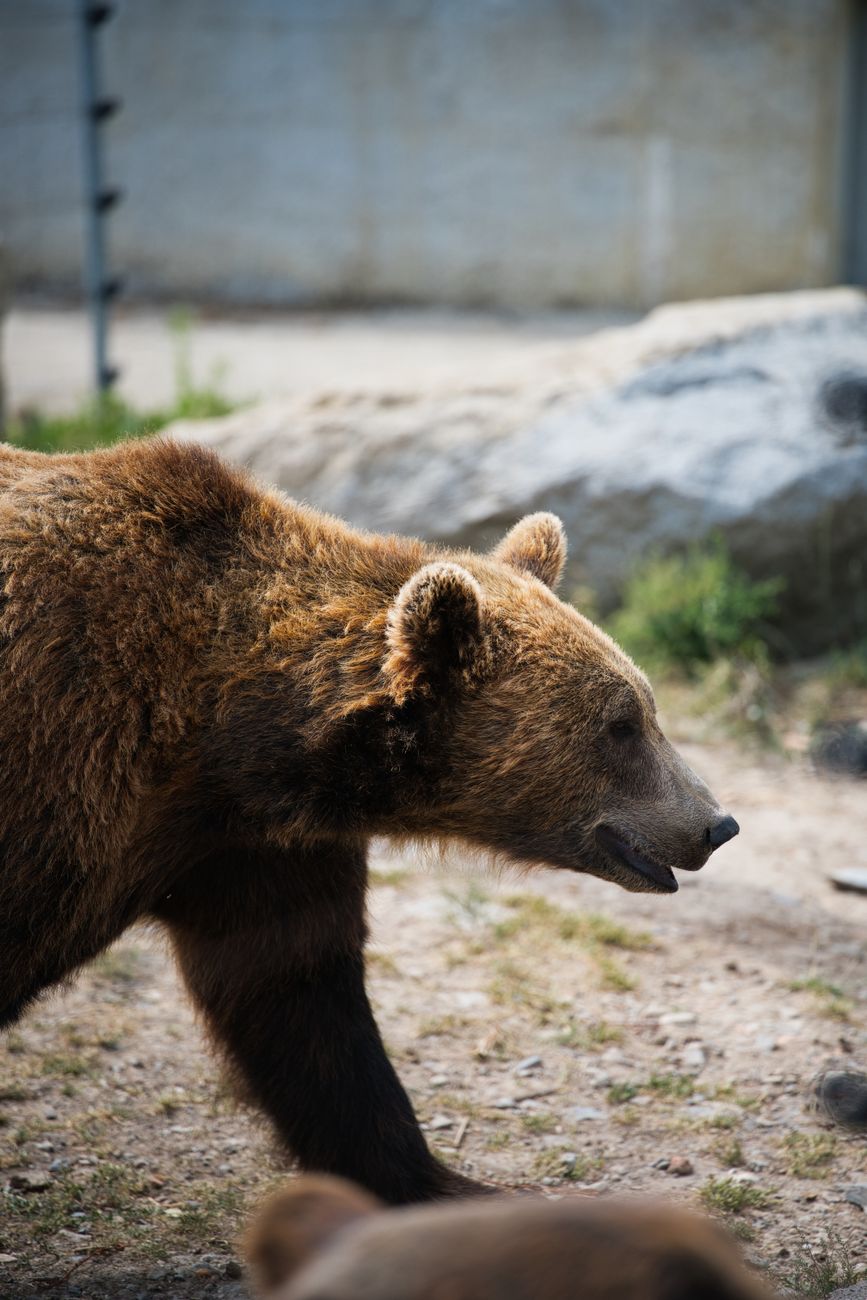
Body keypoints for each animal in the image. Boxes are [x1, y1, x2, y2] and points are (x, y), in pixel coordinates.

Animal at [0, 437, 738, 1204]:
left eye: (647, 709)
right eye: (621, 725)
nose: (716, 824)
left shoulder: (256, 850)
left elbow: (300, 999)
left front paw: (439, 1181)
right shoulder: (66, 768)